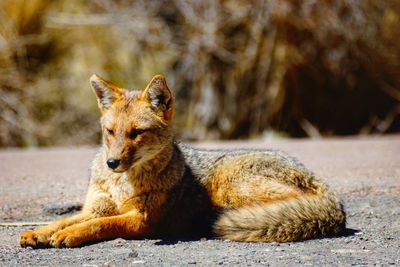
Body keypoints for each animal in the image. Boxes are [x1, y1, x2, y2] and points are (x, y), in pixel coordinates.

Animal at [18, 74, 346, 249]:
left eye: (136, 133)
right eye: (110, 132)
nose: (112, 163)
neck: (122, 185)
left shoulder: (142, 220)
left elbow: (101, 225)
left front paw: (69, 235)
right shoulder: (94, 207)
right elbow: (64, 219)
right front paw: (39, 232)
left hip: (231, 185)